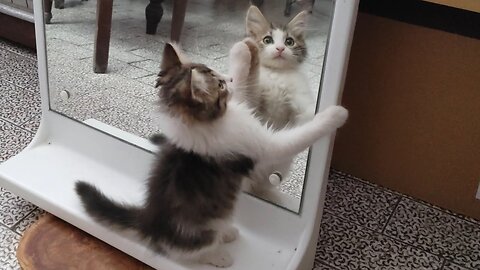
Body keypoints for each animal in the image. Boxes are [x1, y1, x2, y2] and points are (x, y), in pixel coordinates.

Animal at [75, 42, 346, 268]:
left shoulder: (240, 110)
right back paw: (219, 254)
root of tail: (149, 219)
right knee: (187, 251)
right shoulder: (263, 145)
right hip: (199, 232)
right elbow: (299, 136)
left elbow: (243, 92)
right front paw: (336, 115)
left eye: (219, 75)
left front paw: (241, 53)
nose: (228, 78)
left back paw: (228, 233)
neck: (205, 124)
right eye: (220, 85)